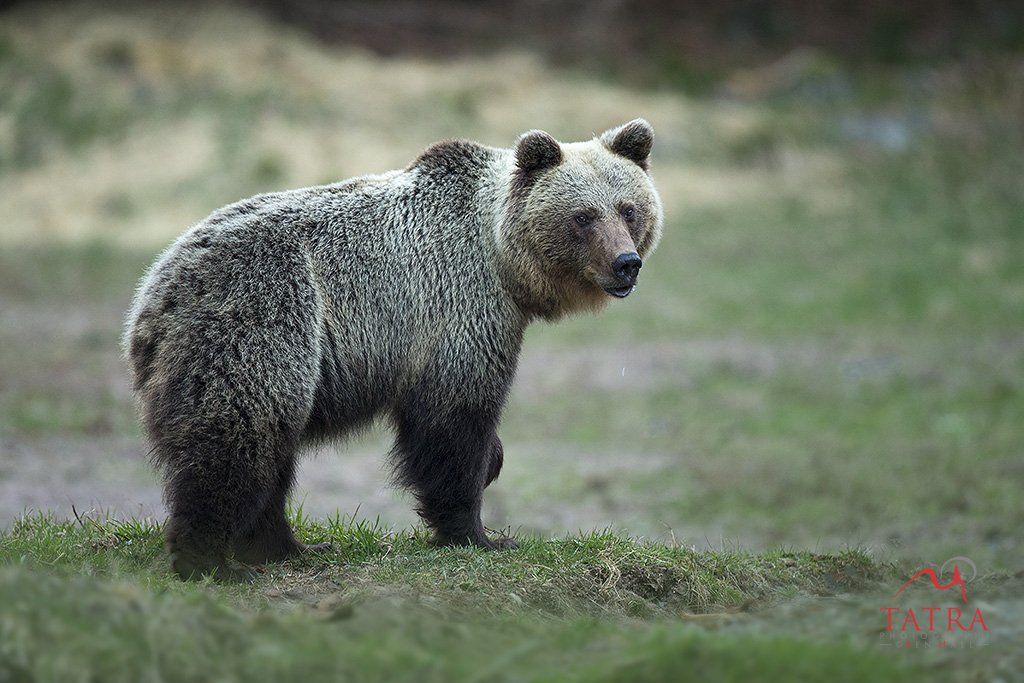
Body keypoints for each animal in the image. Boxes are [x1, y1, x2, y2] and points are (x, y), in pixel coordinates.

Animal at [123, 119, 663, 580]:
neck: (504, 263)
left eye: (628, 208)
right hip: (265, 318)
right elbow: (453, 424)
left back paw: (292, 547)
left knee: (271, 451)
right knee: (236, 439)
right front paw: (480, 533)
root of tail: (154, 297)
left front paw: (492, 470)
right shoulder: (459, 311)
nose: (626, 263)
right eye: (583, 216)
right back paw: (213, 562)